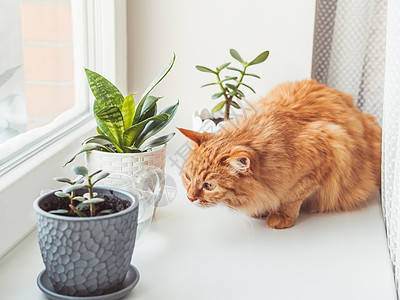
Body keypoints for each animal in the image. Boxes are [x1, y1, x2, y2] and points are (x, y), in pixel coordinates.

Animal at [179, 78, 382, 229]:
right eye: (188, 177)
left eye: (209, 186)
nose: (189, 198)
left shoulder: (328, 149)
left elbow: (293, 197)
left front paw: (282, 215)